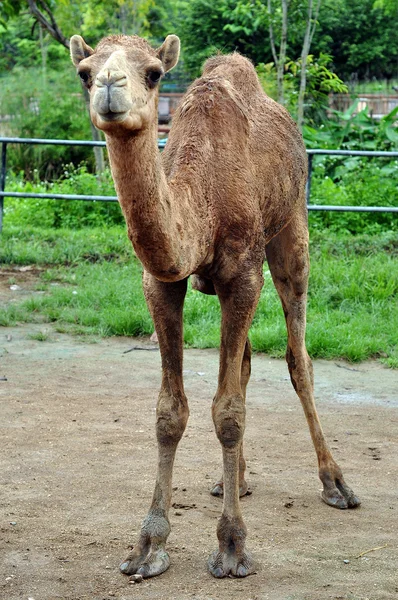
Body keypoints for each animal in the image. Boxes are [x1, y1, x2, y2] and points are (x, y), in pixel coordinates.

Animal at [69, 31, 360, 576]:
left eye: (154, 73)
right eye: (84, 71)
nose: (110, 87)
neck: (201, 202)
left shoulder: (244, 276)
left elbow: (228, 411)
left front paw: (231, 547)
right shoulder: (162, 282)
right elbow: (171, 412)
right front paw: (148, 545)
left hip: (292, 230)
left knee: (299, 359)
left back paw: (336, 484)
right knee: (243, 366)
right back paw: (234, 480)